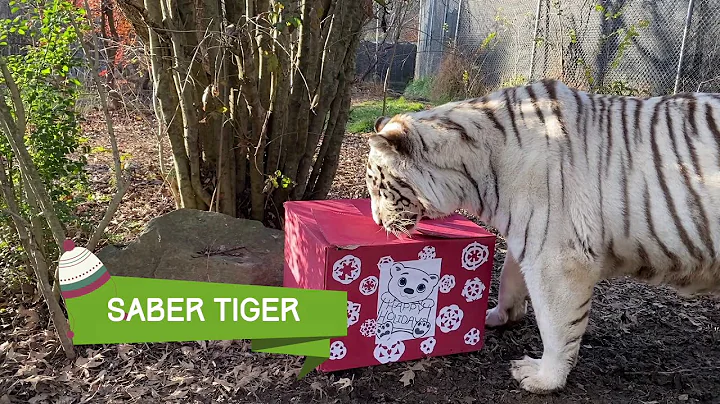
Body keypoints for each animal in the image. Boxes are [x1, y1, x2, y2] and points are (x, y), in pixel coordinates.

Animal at [364, 78, 720, 394]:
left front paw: (543, 379)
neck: (476, 171)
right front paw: (498, 316)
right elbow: (509, 280)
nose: (378, 222)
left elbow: (555, 324)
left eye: (379, 187)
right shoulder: (527, 234)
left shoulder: (557, 256)